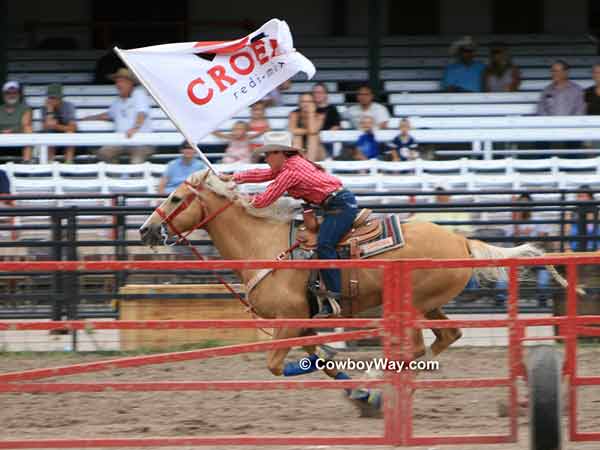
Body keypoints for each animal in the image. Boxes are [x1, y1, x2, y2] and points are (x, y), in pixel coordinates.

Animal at [138, 171, 568, 378]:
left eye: (176, 198)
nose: (145, 230)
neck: (262, 243)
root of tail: (460, 239)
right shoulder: (301, 323)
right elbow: (317, 360)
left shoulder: (290, 318)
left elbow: (276, 365)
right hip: (430, 305)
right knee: (448, 336)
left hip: (412, 305)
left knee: (415, 348)